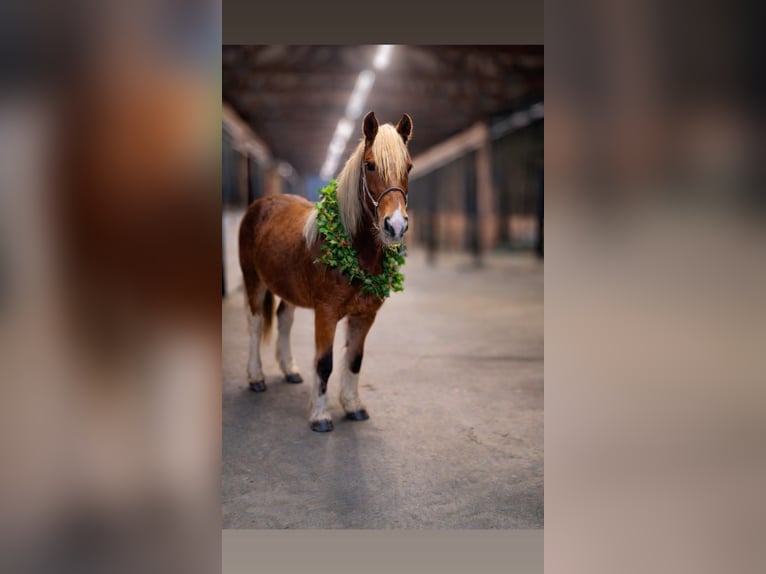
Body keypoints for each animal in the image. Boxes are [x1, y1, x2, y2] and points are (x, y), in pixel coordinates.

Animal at [238, 111, 414, 432]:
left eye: (408, 167)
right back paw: (256, 378)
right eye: (370, 165)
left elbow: (354, 360)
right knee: (255, 324)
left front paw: (353, 406)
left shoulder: (365, 316)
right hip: (253, 280)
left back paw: (290, 370)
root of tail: (261, 204)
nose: (395, 226)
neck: (355, 252)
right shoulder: (326, 314)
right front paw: (320, 415)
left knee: (284, 319)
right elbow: (325, 362)